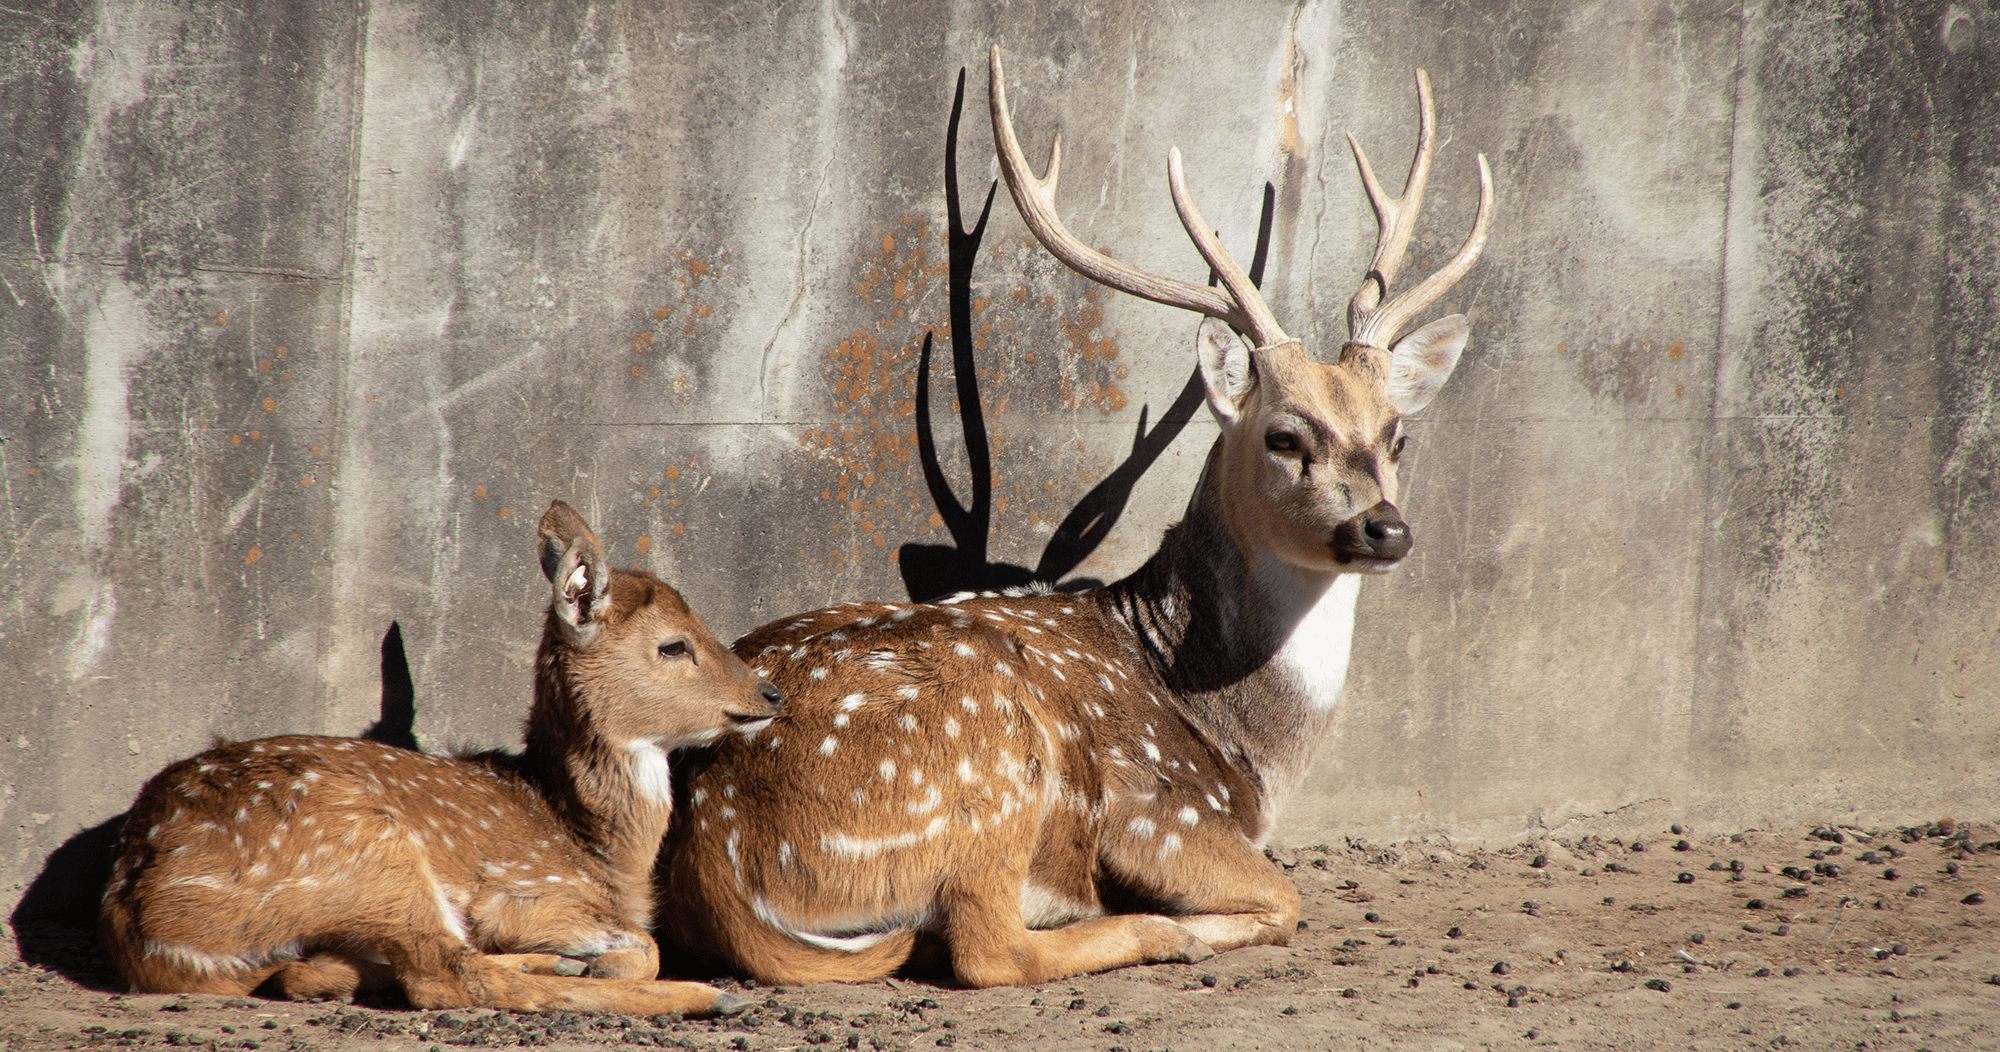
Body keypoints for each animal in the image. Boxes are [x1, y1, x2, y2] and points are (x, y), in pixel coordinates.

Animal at [99, 508, 780, 1020]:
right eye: (674, 645)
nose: (770, 694)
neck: (599, 851)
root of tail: (146, 925)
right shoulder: (522, 889)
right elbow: (644, 943)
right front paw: (608, 964)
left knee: (343, 970)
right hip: (365, 850)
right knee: (444, 977)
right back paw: (704, 996)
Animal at [652, 47, 1488, 992]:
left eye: (1398, 434)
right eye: (1284, 435)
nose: (1386, 528)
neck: (1239, 738)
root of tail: (712, 849)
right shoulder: (1157, 811)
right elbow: (1284, 899)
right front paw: (1189, 920)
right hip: (984, 763)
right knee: (985, 945)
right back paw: (1155, 932)